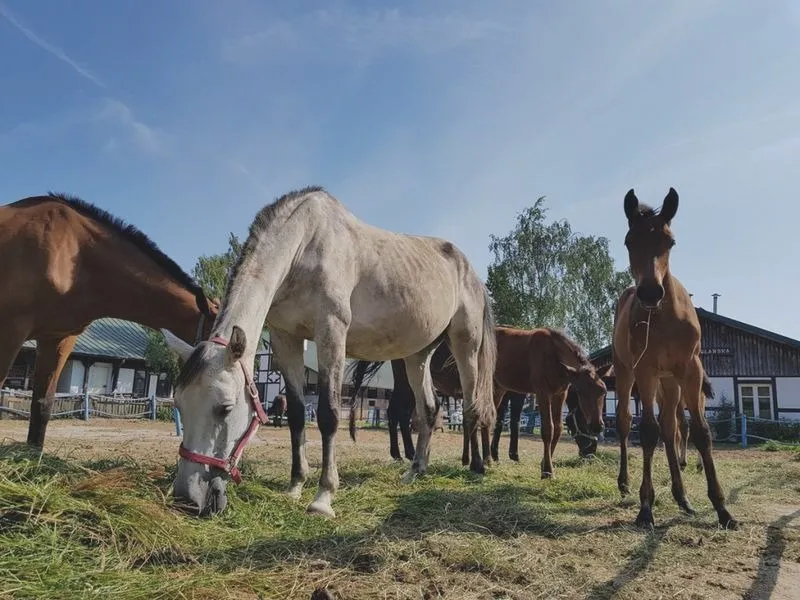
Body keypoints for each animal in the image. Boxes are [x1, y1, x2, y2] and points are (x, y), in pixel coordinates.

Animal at [163, 186, 497, 518]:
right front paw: (295, 486)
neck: (304, 244)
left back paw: (477, 467)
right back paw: (415, 471)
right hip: (417, 355)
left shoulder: (331, 331)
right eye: (179, 404)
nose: (187, 498)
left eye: (225, 408)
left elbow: (329, 414)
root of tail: (469, 271)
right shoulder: (286, 339)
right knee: (428, 408)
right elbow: (297, 414)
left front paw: (323, 496)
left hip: (465, 345)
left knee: (471, 405)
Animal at [352, 325, 608, 478]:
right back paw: (405, 453)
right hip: (409, 381)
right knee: (399, 413)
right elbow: (544, 428)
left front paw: (544, 465)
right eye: (583, 394)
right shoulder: (540, 392)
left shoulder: (558, 394)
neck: (553, 354)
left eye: (604, 392)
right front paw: (544, 469)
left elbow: (556, 429)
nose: (597, 430)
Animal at [613, 187, 737, 530]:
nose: (650, 292)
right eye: (629, 241)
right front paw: (646, 507)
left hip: (670, 383)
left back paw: (682, 497)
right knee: (627, 423)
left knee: (672, 428)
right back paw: (625, 483)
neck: (664, 318)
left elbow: (701, 432)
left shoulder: (690, 370)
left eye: (670, 241)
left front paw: (722, 509)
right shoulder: (645, 371)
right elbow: (647, 431)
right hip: (627, 373)